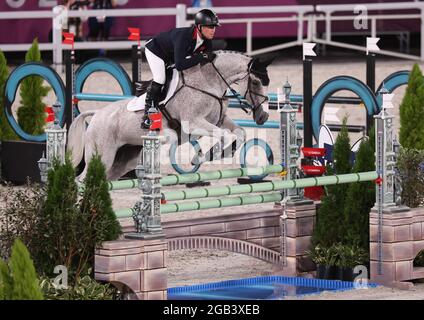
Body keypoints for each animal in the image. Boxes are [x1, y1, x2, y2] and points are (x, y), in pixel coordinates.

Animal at [66, 49, 272, 180]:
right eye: (255, 82)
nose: (264, 117)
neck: (209, 83)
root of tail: (97, 114)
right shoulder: (194, 122)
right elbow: (224, 135)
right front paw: (203, 156)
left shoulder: (219, 119)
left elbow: (239, 133)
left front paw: (216, 154)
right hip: (102, 155)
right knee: (83, 179)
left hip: (123, 159)